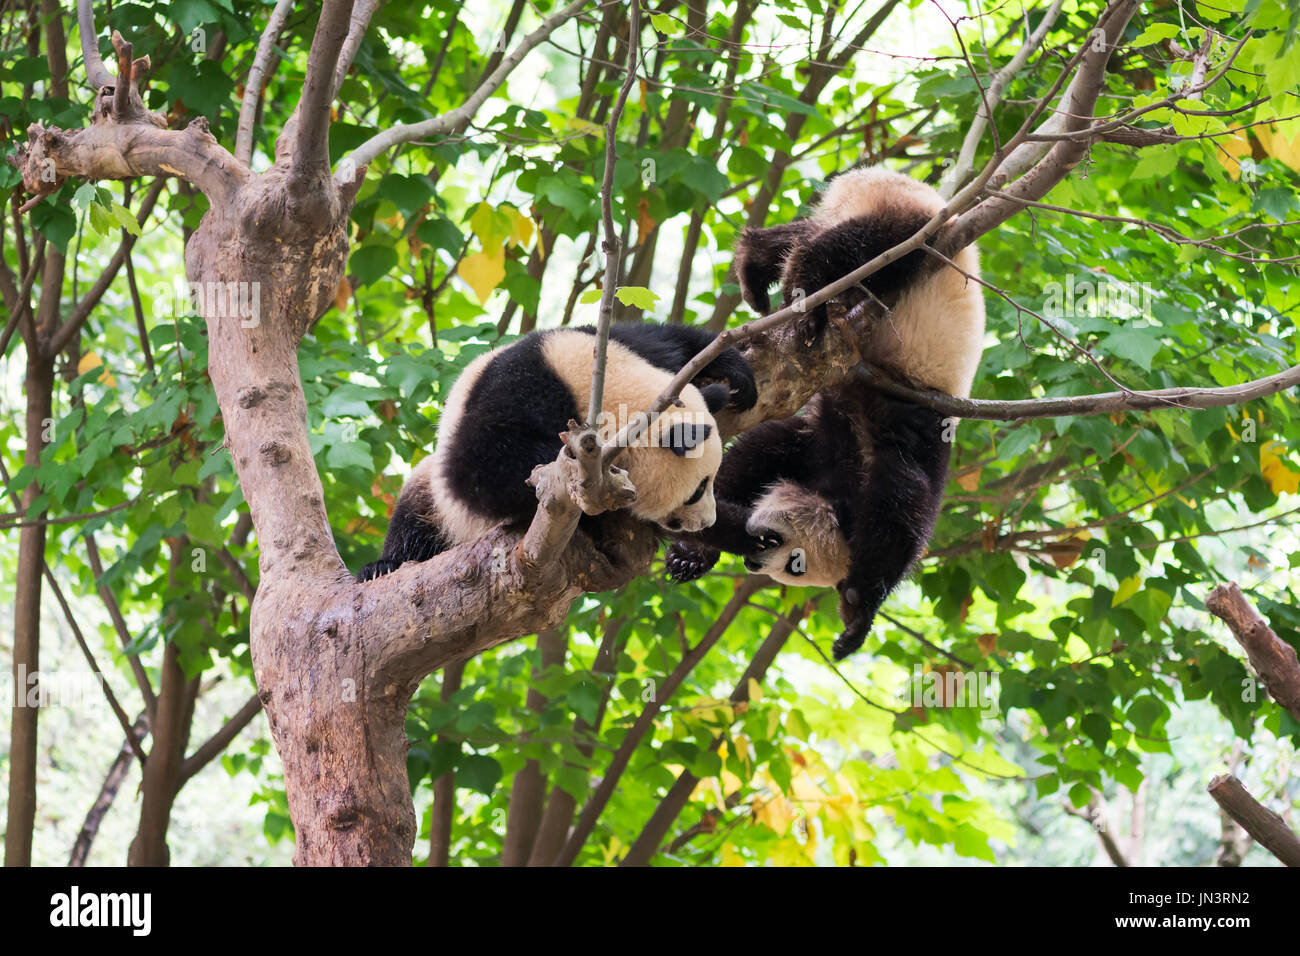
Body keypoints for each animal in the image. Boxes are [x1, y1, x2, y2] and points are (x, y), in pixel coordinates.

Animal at [357, 323, 758, 581]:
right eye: (697, 490)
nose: (706, 521)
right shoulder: (519, 394)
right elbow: (476, 467)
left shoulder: (615, 342)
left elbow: (671, 339)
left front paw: (735, 375)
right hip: (440, 504)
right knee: (417, 513)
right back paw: (382, 566)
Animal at [666, 165, 985, 660]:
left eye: (793, 567)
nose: (752, 559)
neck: (844, 488)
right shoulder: (896, 432)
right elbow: (903, 507)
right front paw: (858, 613)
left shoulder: (837, 442)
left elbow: (769, 451)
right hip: (917, 231)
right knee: (852, 249)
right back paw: (800, 298)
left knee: (806, 233)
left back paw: (756, 265)